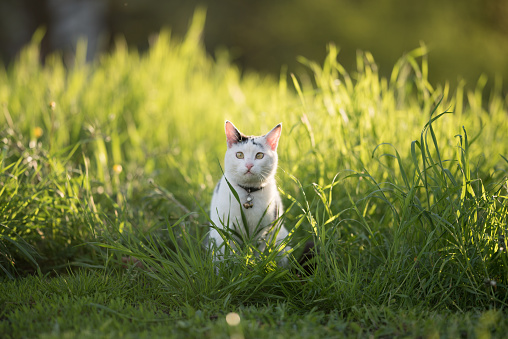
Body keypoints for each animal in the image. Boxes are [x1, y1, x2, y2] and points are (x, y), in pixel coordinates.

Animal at [208, 121, 290, 266]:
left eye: (259, 155)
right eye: (239, 155)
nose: (249, 165)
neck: (249, 192)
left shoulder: (264, 232)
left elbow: (258, 253)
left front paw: (256, 264)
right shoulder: (228, 229)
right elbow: (231, 253)